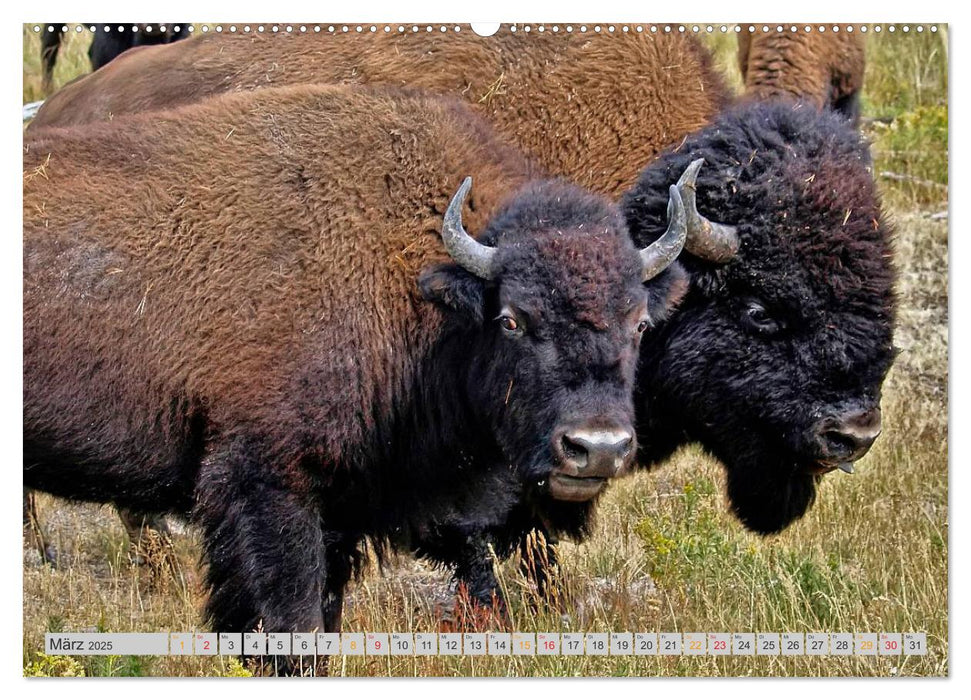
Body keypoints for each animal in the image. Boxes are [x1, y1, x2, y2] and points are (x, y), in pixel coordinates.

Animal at [22, 85, 692, 644]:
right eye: (512, 319)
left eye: (639, 323)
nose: (596, 448)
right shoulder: (268, 487)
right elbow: (288, 623)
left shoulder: (339, 514)